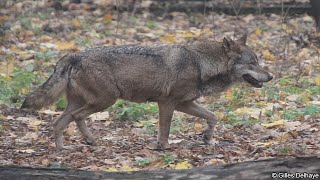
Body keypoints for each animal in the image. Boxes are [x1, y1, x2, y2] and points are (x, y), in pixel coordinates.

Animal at [21, 33, 272, 150]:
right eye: (253, 63)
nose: (270, 77)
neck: (200, 63)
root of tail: (73, 55)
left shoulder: (185, 103)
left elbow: (213, 116)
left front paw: (208, 137)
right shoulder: (167, 103)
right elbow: (165, 129)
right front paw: (164, 147)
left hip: (85, 102)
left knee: (59, 123)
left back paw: (63, 149)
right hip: (105, 101)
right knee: (75, 117)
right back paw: (89, 141)